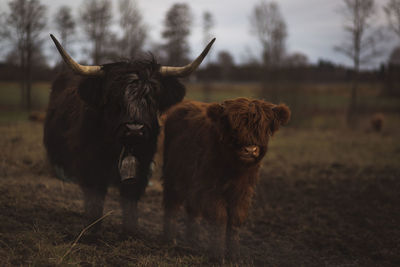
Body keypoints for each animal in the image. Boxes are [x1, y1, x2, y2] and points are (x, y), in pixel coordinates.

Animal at [43, 34, 216, 233]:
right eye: (113, 97)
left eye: (152, 96)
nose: (135, 129)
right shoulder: (91, 167)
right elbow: (95, 202)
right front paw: (92, 231)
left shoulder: (142, 167)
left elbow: (130, 203)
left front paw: (130, 232)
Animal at [162, 97, 290, 260]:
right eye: (234, 127)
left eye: (263, 128)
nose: (250, 150)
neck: (233, 170)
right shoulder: (210, 188)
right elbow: (220, 218)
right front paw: (217, 253)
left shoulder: (243, 192)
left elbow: (235, 220)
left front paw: (234, 254)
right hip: (173, 176)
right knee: (172, 205)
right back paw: (169, 239)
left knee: (193, 210)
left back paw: (193, 240)